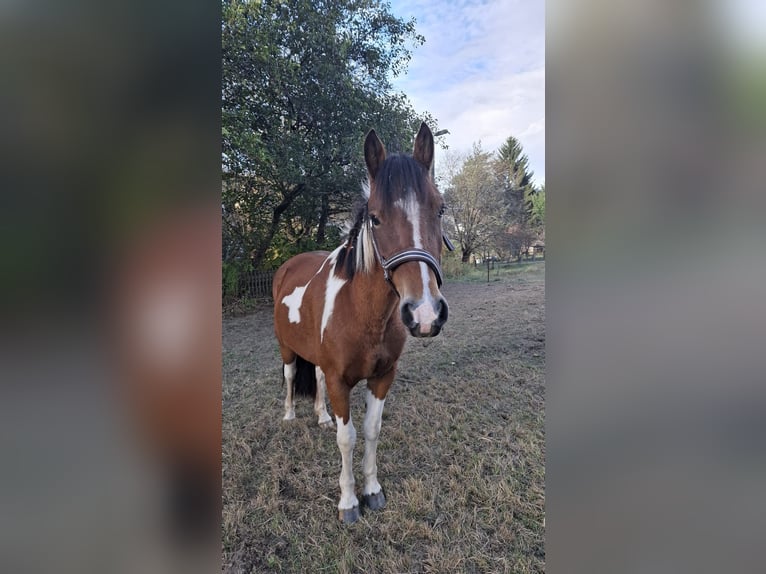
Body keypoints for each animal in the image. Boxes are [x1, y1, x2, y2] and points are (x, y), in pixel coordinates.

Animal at [272, 123, 453, 523]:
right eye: (376, 217)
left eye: (439, 210)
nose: (426, 314)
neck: (363, 313)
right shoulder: (341, 382)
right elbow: (347, 438)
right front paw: (348, 502)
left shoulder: (382, 377)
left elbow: (371, 430)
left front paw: (372, 490)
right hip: (287, 348)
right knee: (290, 376)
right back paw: (289, 415)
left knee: (315, 377)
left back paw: (321, 416)